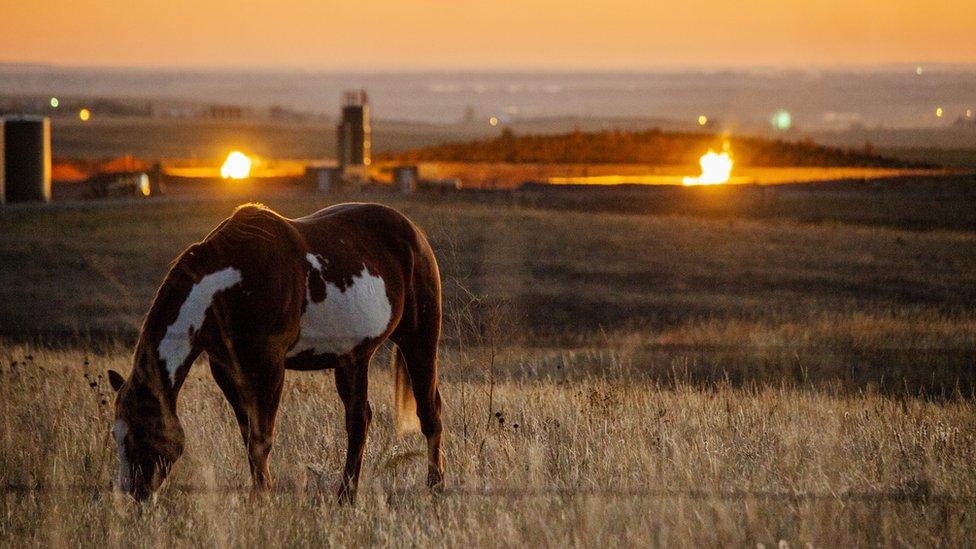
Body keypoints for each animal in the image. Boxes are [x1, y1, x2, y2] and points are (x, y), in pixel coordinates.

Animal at [107, 201, 442, 500]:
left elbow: (262, 438)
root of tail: (414, 232)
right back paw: (346, 496)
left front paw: (262, 500)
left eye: (141, 434)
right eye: (117, 435)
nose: (133, 495)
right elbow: (249, 436)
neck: (230, 287)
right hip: (353, 359)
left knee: (429, 412)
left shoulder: (270, 367)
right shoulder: (226, 370)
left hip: (419, 340)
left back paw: (435, 488)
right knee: (359, 421)